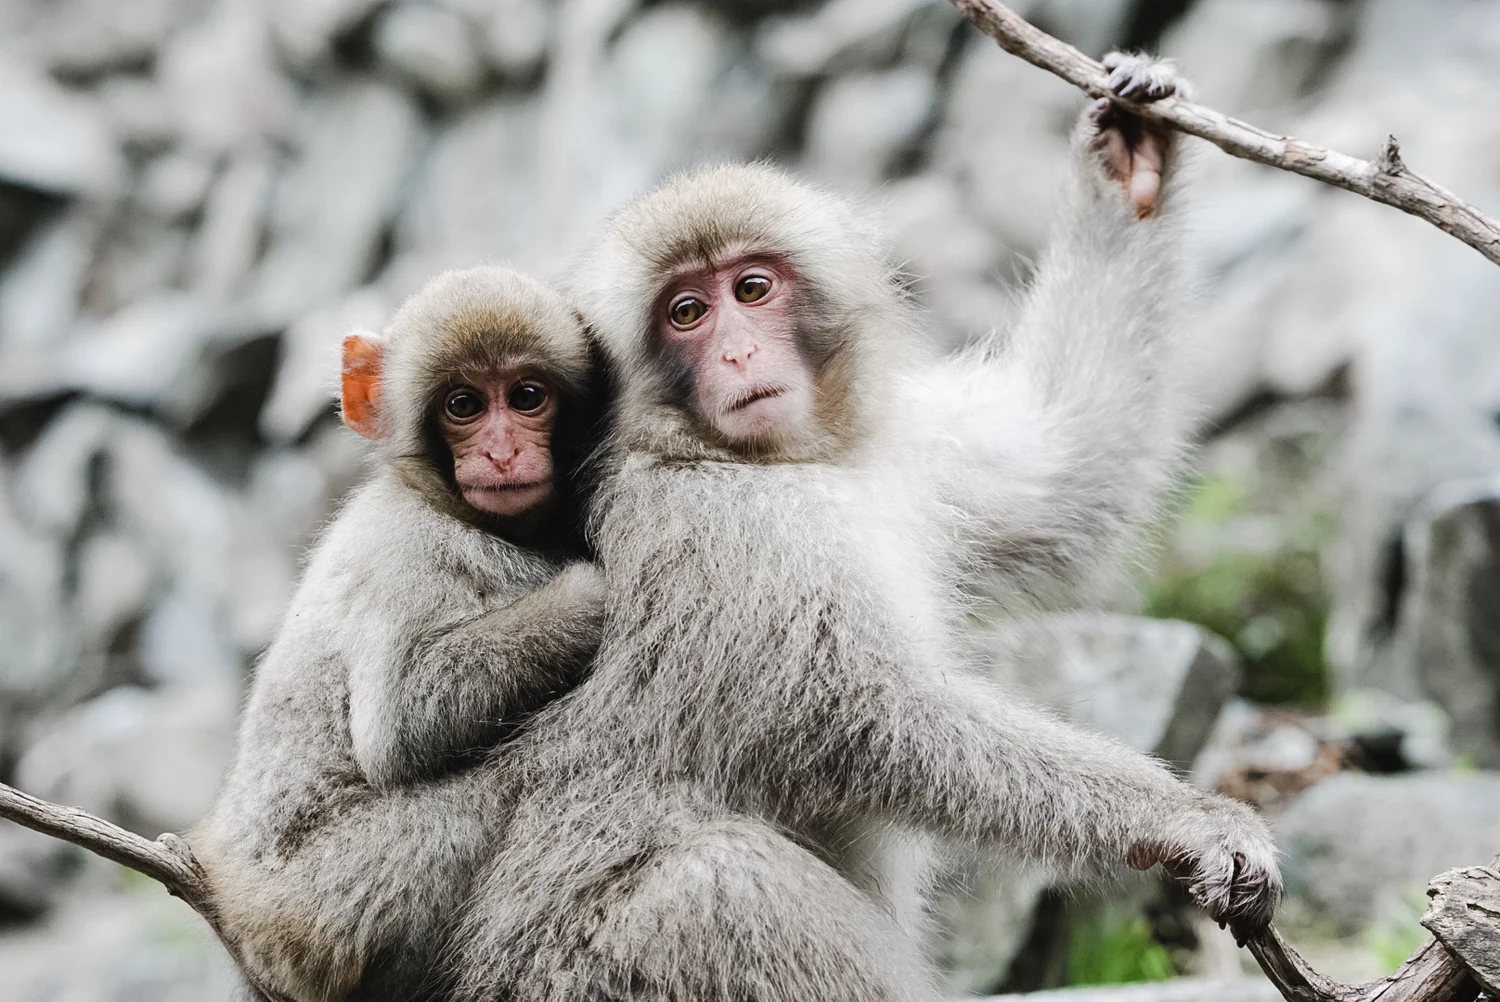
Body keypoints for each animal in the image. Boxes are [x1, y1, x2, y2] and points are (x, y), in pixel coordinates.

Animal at [190, 265, 608, 1002]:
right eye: (463, 405)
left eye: (527, 397)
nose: (502, 450)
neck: (446, 503)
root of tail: (234, 913)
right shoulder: (406, 553)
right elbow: (399, 724)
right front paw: (584, 594)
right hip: (327, 903)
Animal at [427, 54, 1280, 1002]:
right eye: (686, 313)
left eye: (750, 288)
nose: (736, 354)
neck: (782, 464)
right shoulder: (721, 530)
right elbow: (865, 712)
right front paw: (1188, 819)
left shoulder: (910, 449)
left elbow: (1066, 462)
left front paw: (1129, 159)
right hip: (590, 963)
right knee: (718, 883)